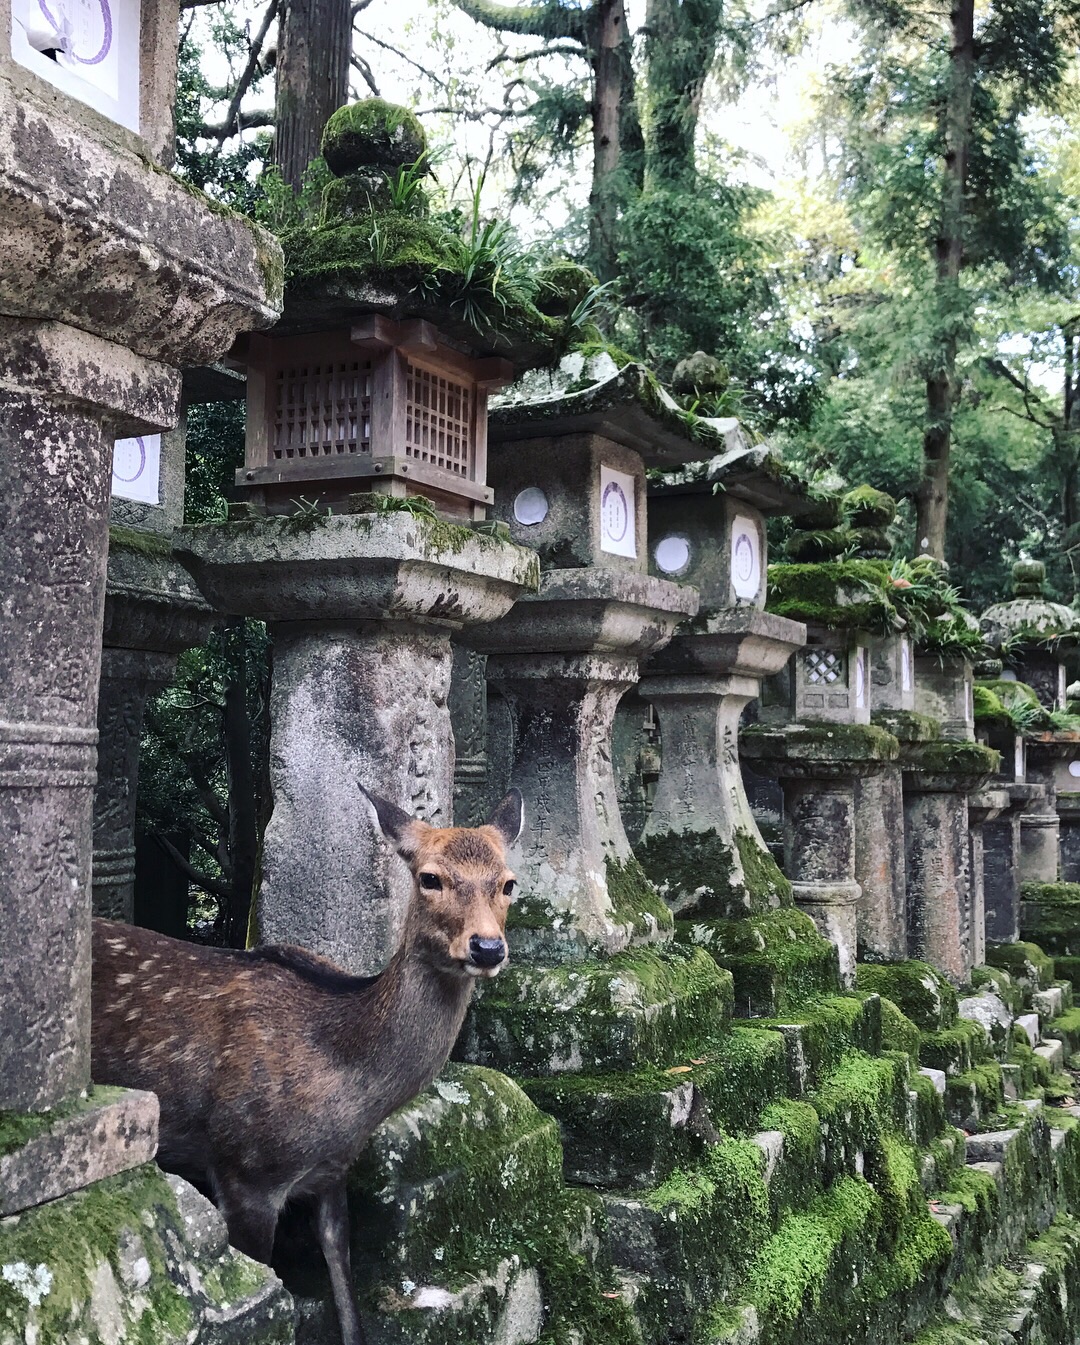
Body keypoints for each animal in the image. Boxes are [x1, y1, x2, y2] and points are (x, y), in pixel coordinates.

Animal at [90, 785, 521, 1345]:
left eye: (509, 882)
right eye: (430, 877)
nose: (487, 947)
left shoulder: (332, 1173)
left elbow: (346, 1286)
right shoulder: (245, 1171)